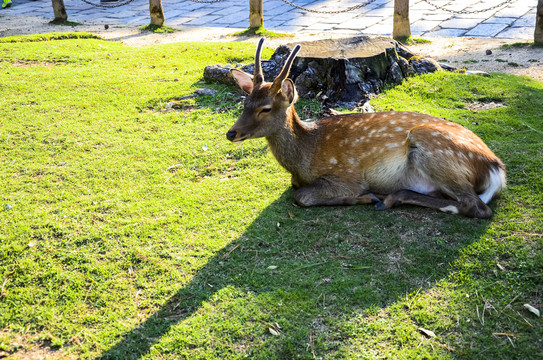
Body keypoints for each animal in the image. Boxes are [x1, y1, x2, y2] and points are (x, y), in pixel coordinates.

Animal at [226, 39, 506, 219]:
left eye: (265, 108)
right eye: (245, 102)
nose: (232, 133)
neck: (305, 157)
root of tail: (496, 169)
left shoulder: (346, 175)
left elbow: (302, 196)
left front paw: (364, 197)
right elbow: (297, 189)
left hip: (432, 145)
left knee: (476, 206)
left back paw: (385, 198)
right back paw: (391, 198)